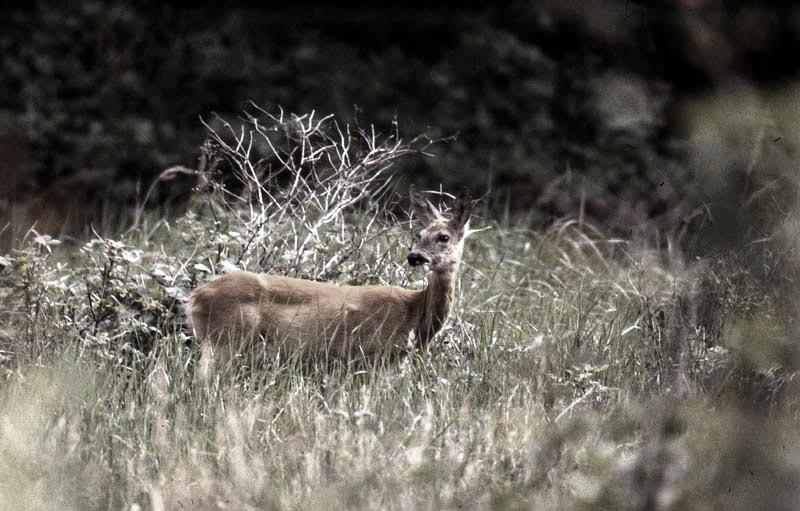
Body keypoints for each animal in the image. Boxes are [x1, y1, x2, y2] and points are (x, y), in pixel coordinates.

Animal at [186, 184, 476, 372]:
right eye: (419, 234)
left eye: (443, 237)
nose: (415, 256)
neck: (417, 315)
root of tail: (194, 297)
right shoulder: (370, 354)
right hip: (224, 340)